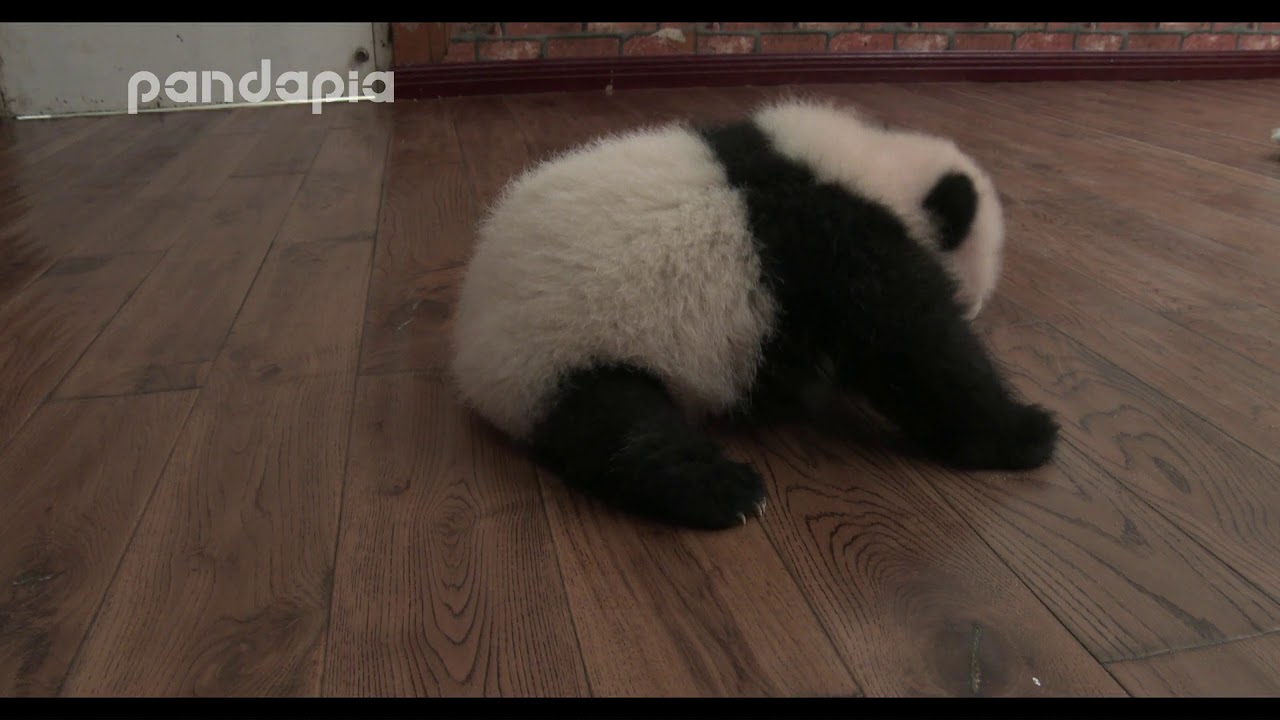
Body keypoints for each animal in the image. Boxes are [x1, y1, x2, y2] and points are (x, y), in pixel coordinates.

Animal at [450, 95, 1059, 530]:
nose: (977, 307)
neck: (873, 164)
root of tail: (471, 325)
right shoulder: (833, 238)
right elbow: (916, 343)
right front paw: (1026, 431)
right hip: (563, 349)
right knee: (624, 429)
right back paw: (725, 492)